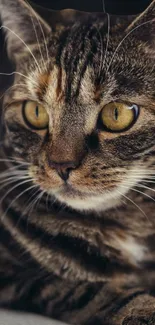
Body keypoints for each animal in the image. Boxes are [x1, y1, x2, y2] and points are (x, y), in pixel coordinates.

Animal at [0, 0, 155, 322]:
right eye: (35, 112)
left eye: (117, 114)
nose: (61, 165)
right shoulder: (19, 278)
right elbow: (85, 289)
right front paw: (144, 308)